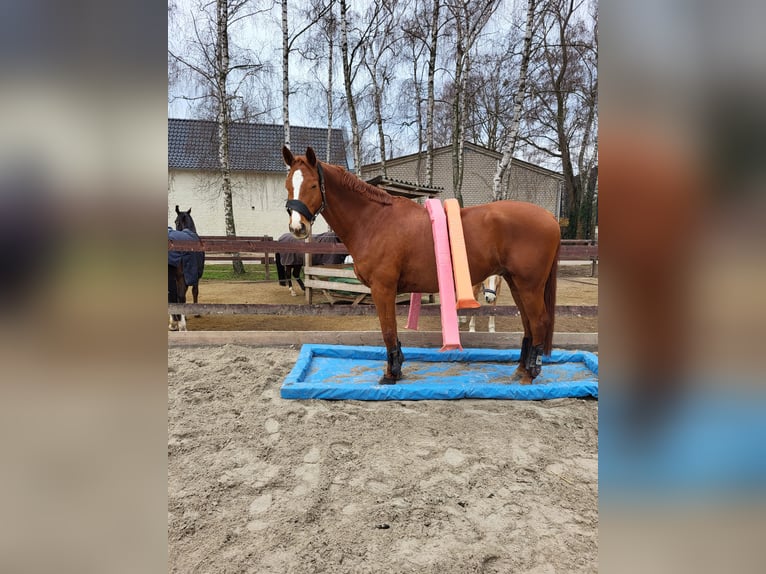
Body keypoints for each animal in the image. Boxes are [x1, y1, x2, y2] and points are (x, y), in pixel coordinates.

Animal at [282, 146, 560, 385]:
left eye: (313, 185)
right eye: (288, 185)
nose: (298, 227)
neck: (374, 220)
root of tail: (550, 218)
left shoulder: (383, 289)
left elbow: (388, 330)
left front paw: (390, 374)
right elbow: (391, 331)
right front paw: (396, 369)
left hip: (529, 285)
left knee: (538, 322)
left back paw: (530, 374)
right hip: (515, 283)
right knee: (528, 323)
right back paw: (521, 370)